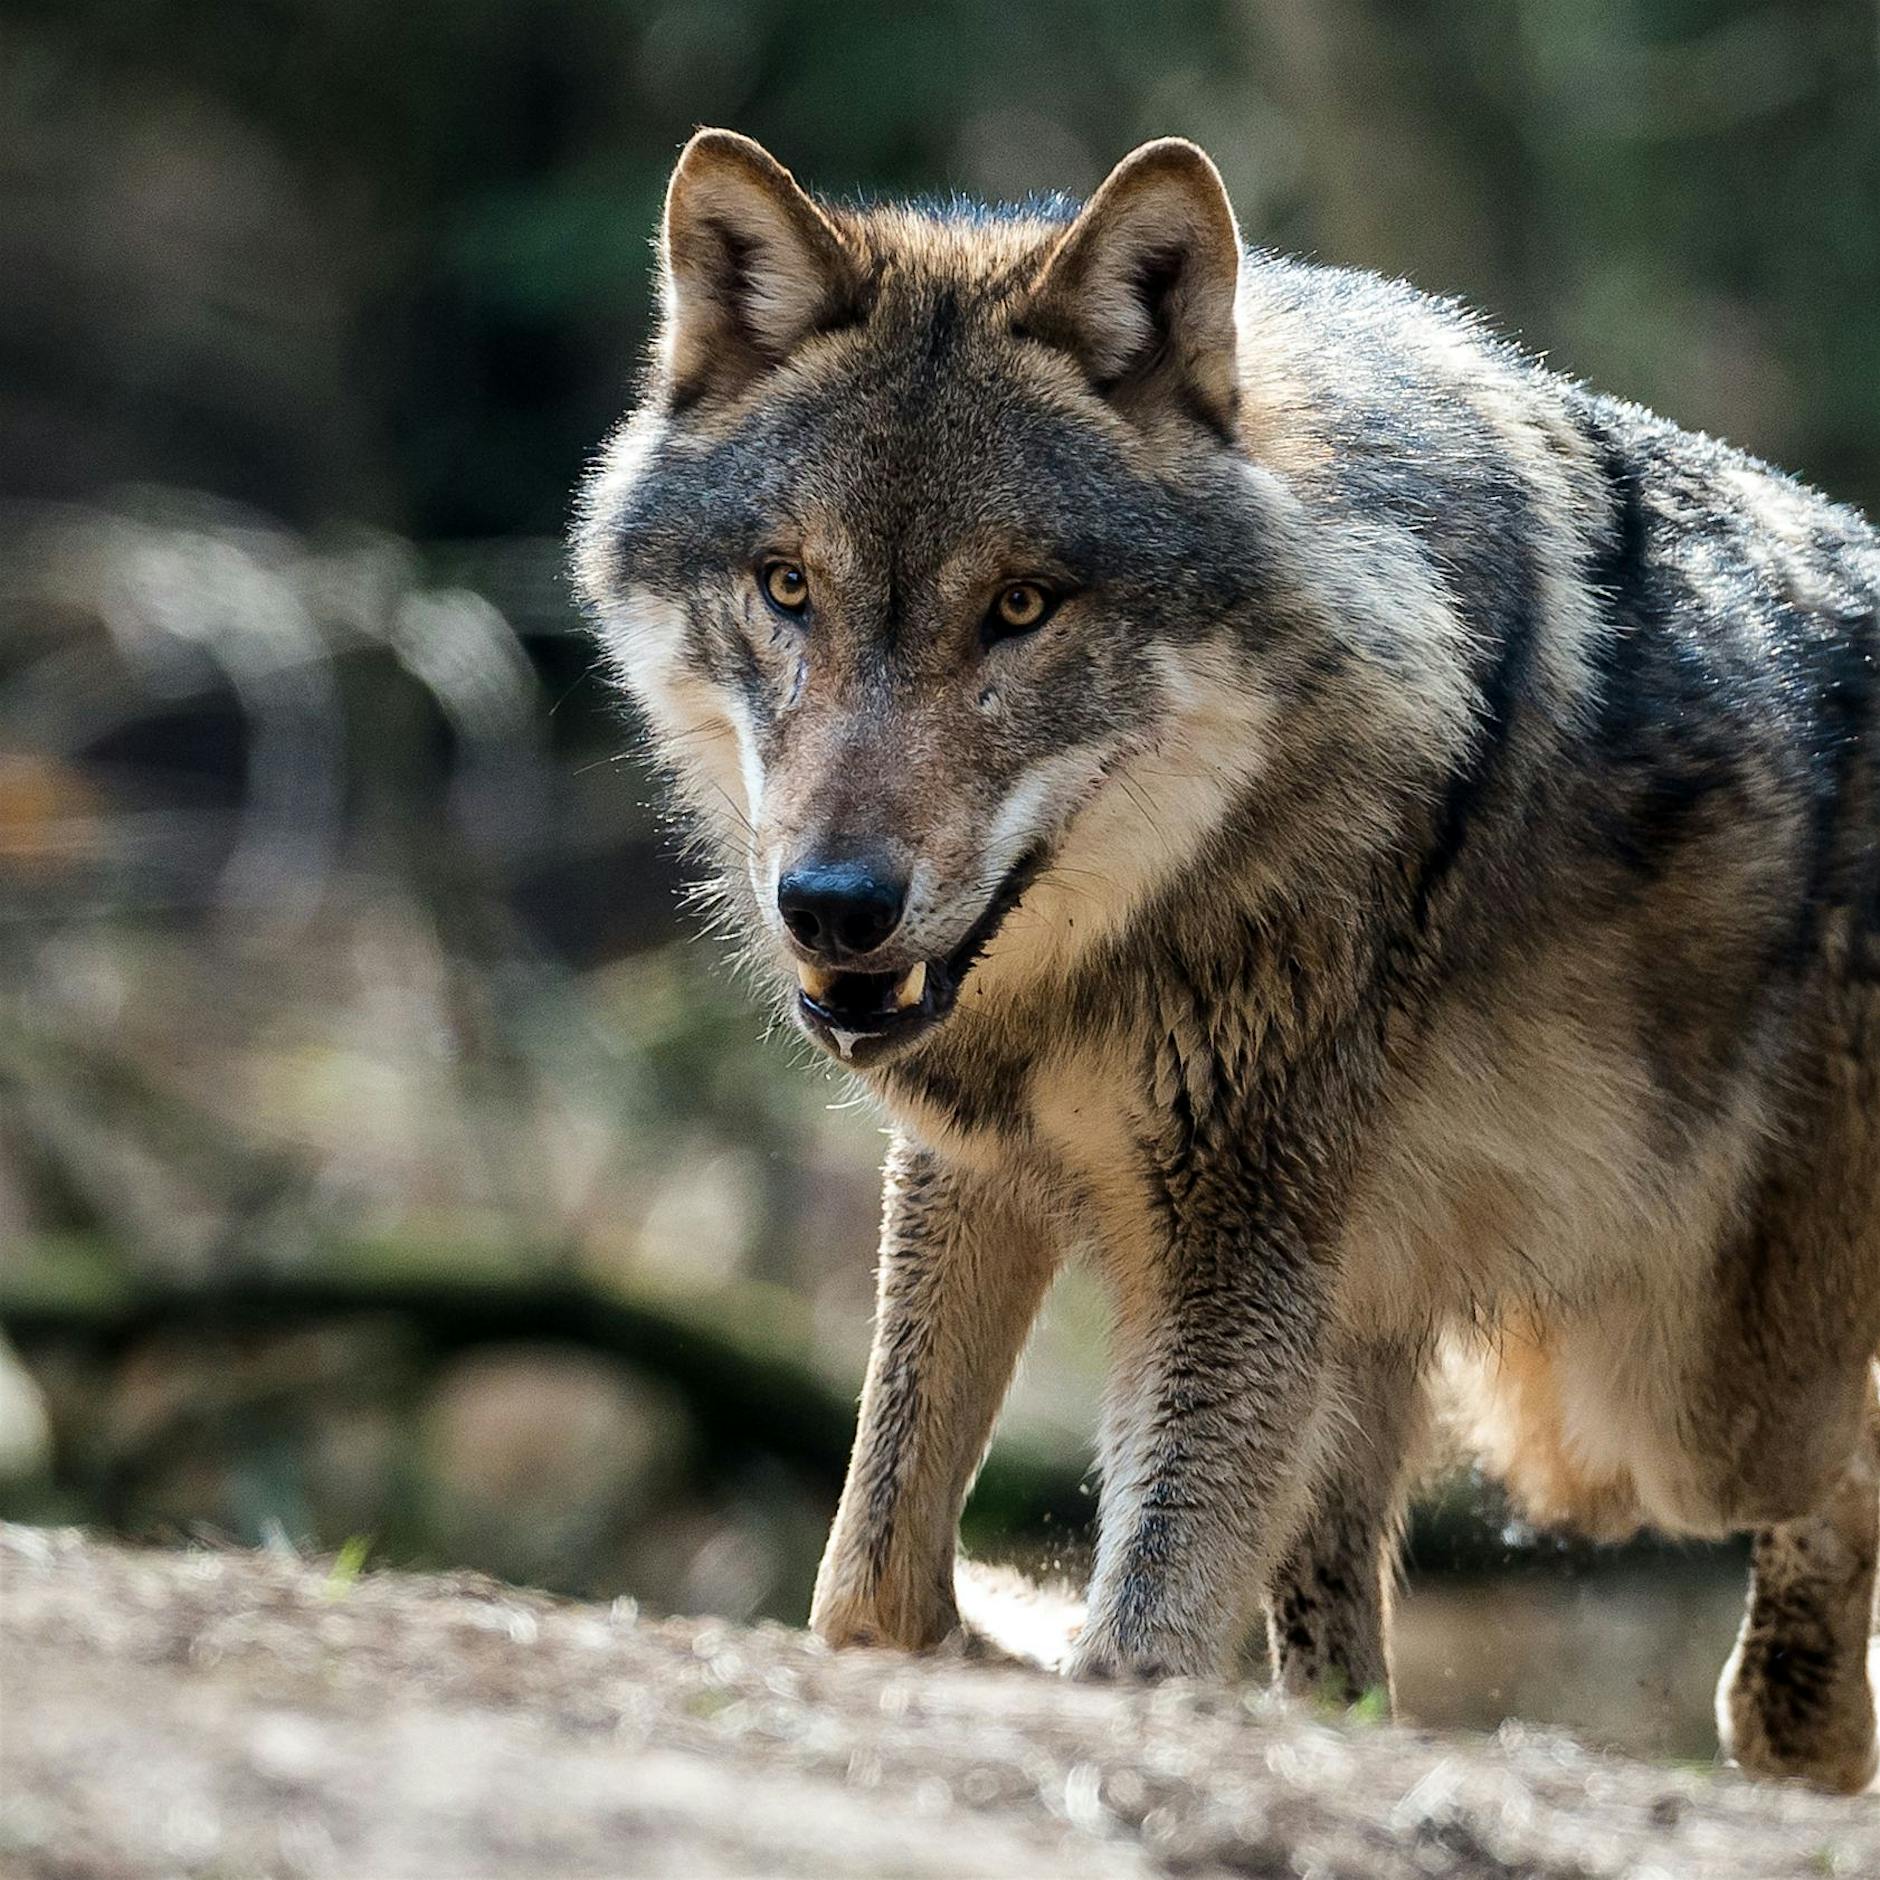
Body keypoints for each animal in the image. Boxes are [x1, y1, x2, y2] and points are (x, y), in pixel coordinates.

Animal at [573, 129, 1880, 1790]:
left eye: (1021, 607)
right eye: (788, 585)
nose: (836, 905)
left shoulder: (1232, 1235)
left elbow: (1141, 1641)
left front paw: (1074, 1658)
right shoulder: (976, 1169)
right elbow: (870, 1589)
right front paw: (997, 1631)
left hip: (1674, 1405)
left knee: (1835, 1469)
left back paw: (1804, 1733)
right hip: (1422, 1335)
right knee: (1344, 1644)